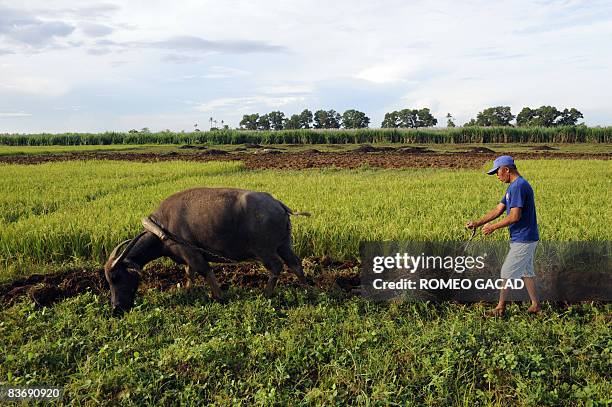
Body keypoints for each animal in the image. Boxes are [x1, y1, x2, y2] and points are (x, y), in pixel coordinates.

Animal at [103, 186, 310, 318]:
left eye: (116, 277)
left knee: (276, 267)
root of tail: (278, 204)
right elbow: (189, 273)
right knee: (295, 263)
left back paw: (267, 294)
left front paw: (219, 297)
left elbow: (205, 271)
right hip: (284, 245)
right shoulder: (188, 258)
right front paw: (188, 291)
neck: (163, 229)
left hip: (265, 250)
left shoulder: (191, 253)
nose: (115, 309)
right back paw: (309, 290)